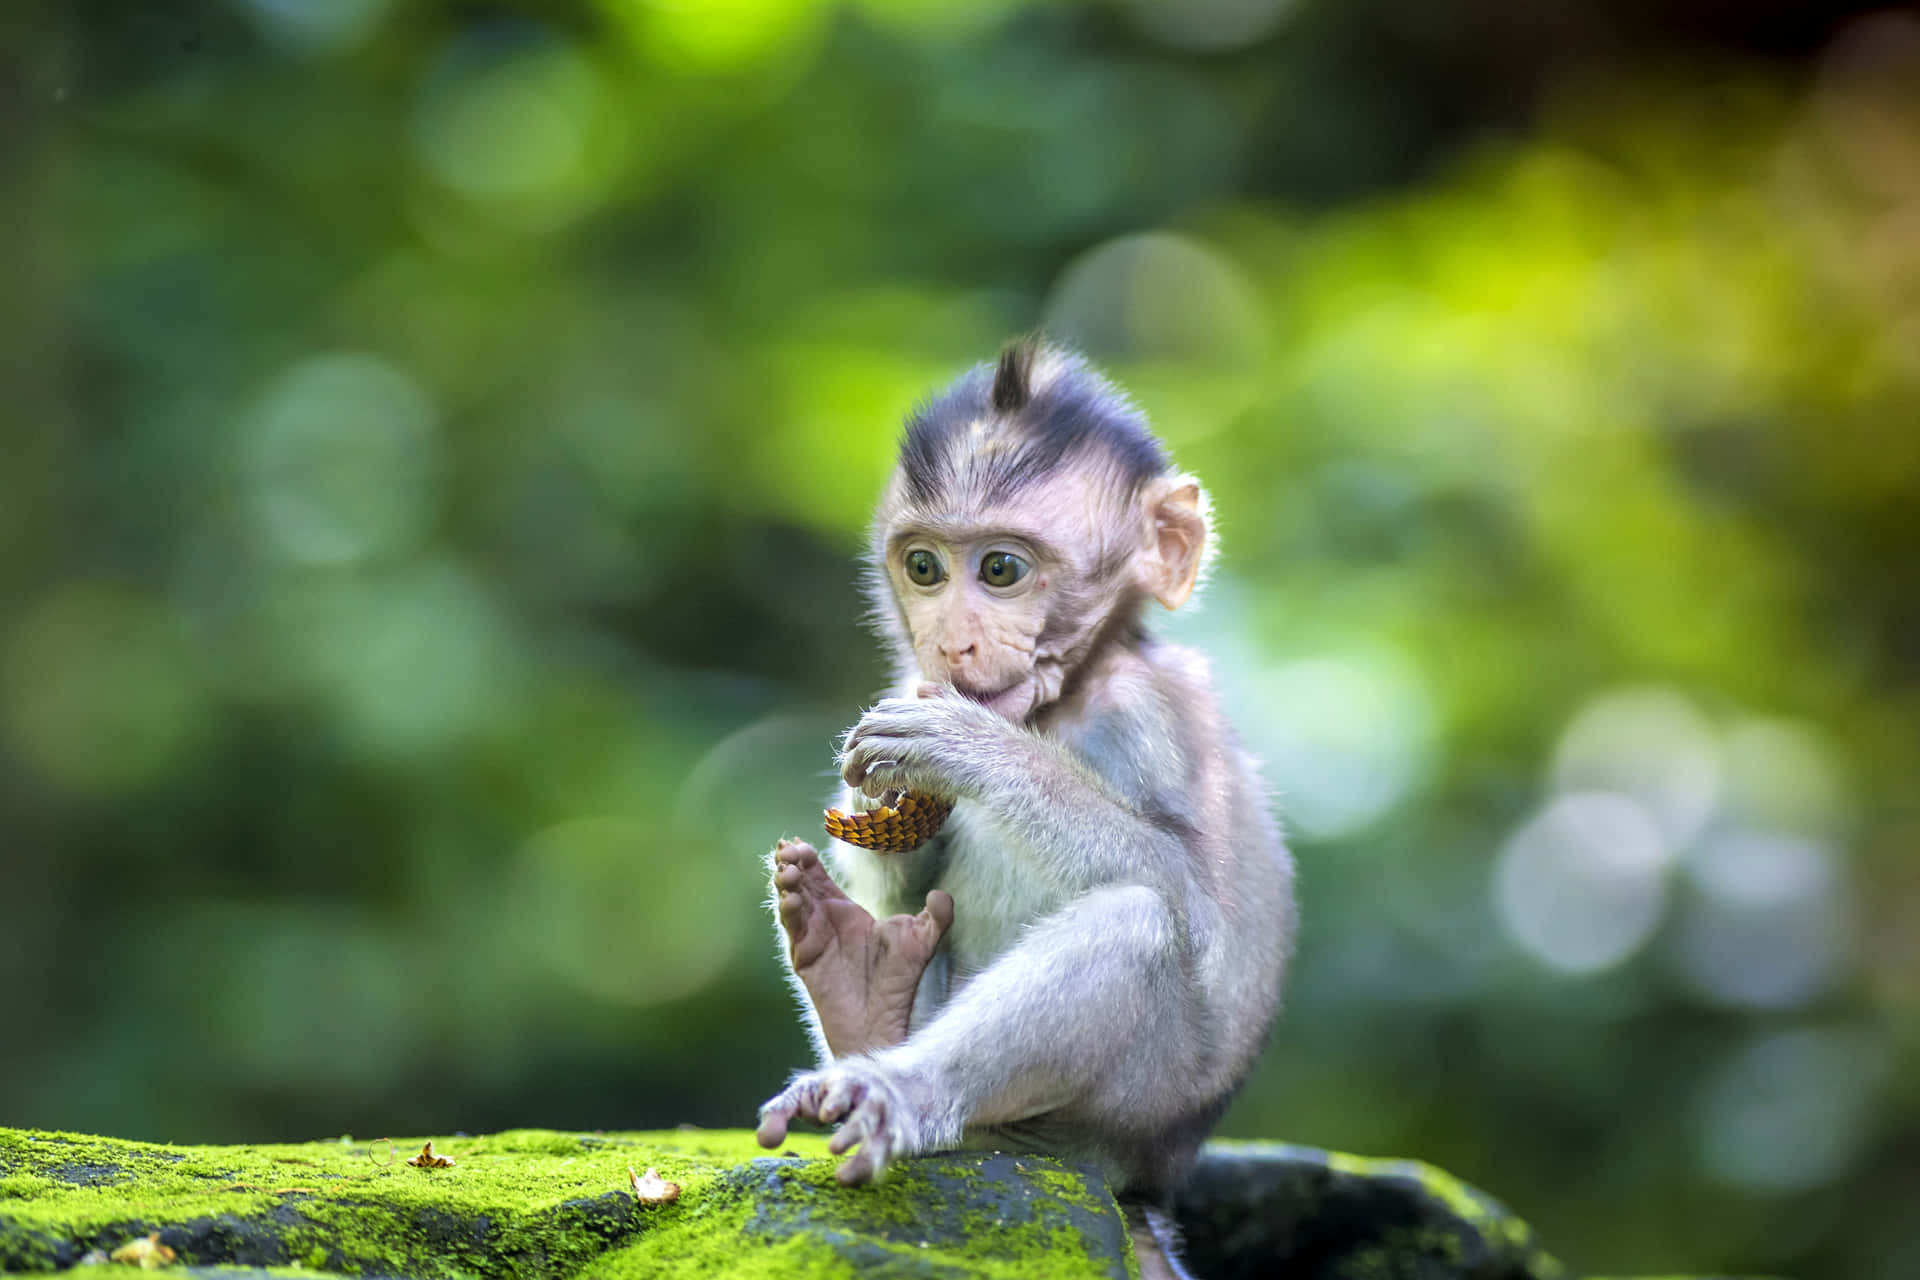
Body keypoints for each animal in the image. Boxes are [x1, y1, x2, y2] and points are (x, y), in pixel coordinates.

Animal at [756, 337, 1297, 1258]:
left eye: (1001, 570)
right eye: (925, 567)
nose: (951, 643)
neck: (1062, 702)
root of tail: (1144, 1178)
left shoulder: (1152, 714)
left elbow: (1200, 913)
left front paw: (972, 750)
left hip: (1135, 1104)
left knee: (1137, 925)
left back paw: (900, 1083)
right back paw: (860, 990)